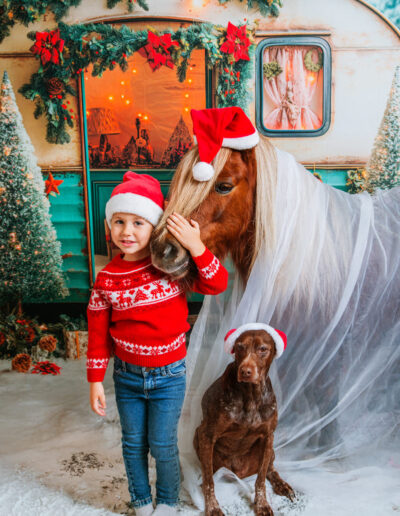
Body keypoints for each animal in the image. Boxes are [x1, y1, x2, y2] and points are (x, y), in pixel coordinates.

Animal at [193, 328, 294, 512]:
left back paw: (282, 484)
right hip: (198, 437)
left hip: (270, 449)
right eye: (239, 347)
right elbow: (209, 481)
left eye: (263, 349)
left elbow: (261, 480)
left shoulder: (268, 436)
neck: (251, 395)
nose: (245, 371)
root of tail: (239, 474)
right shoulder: (206, 434)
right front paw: (212, 507)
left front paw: (262, 503)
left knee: (269, 469)